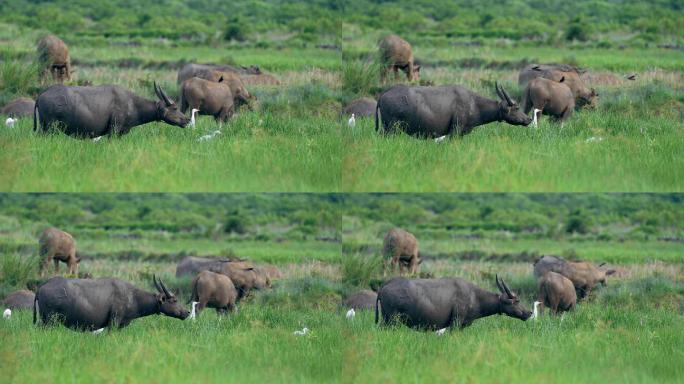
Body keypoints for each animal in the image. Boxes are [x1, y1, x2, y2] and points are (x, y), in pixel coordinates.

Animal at [34, 82, 190, 139]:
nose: (187, 119)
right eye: (175, 108)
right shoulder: (113, 132)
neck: (133, 104)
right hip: (49, 129)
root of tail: (41, 95)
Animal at [34, 274, 187, 332]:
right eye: (174, 300)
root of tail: (42, 286)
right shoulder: (113, 323)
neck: (133, 297)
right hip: (50, 322)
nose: (187, 312)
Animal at [376, 83, 532, 138]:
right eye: (517, 107)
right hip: (392, 129)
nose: (529, 119)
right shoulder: (455, 131)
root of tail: (383, 94)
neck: (474, 104)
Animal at [376, 274, 532, 328]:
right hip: (392, 321)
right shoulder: (455, 323)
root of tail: (385, 285)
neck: (475, 296)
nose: (529, 312)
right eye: (516, 301)